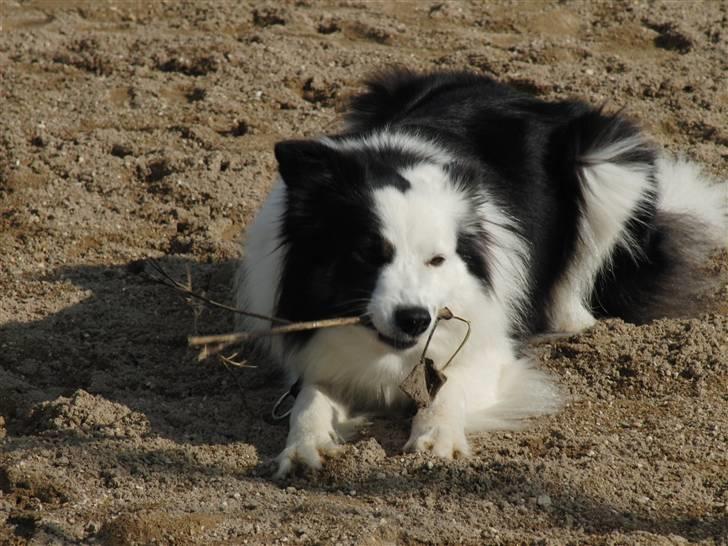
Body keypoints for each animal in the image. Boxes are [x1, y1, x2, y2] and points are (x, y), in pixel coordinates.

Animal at [236, 69, 724, 476]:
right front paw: (304, 447)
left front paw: (435, 436)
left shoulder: (489, 349)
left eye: (437, 260)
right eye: (368, 254)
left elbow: (449, 385)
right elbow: (309, 399)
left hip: (606, 161)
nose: (415, 320)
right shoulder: (318, 352)